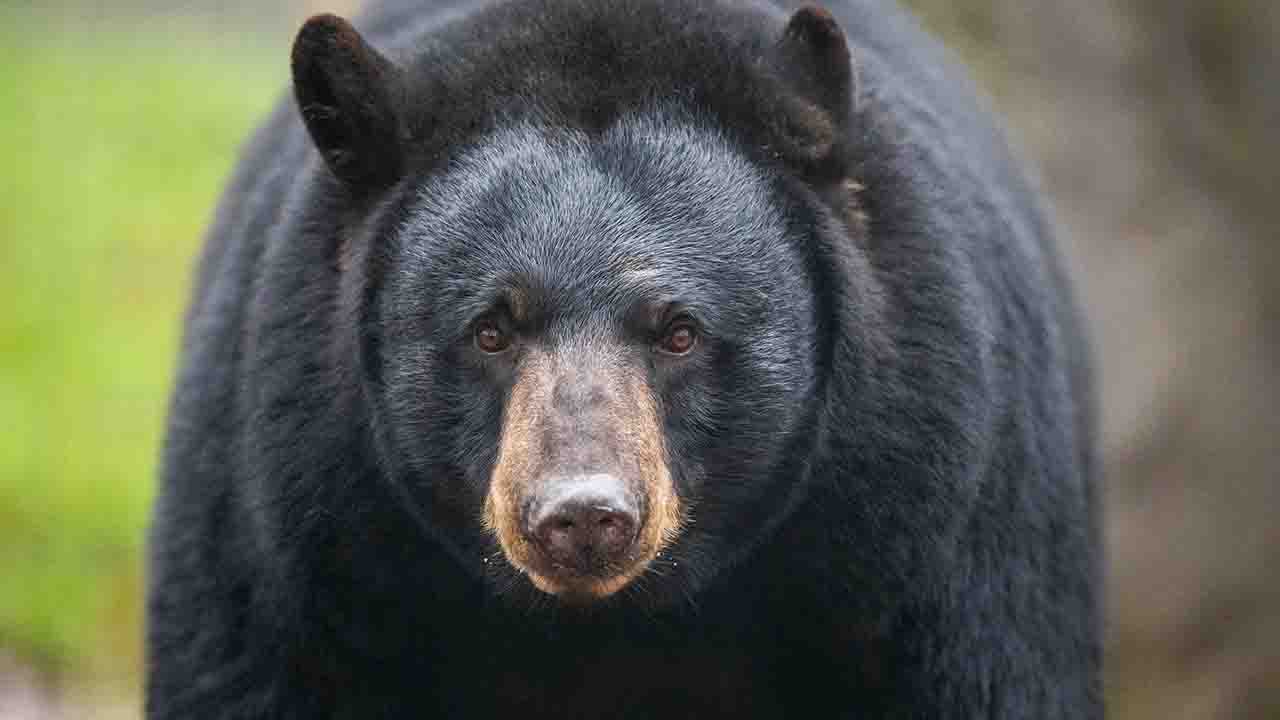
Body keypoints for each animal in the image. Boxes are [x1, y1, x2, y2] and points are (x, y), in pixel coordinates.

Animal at [146, 0, 1101, 718]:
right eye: (490, 329)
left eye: (679, 330)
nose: (582, 516)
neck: (615, 632)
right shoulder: (299, 547)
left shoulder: (929, 533)